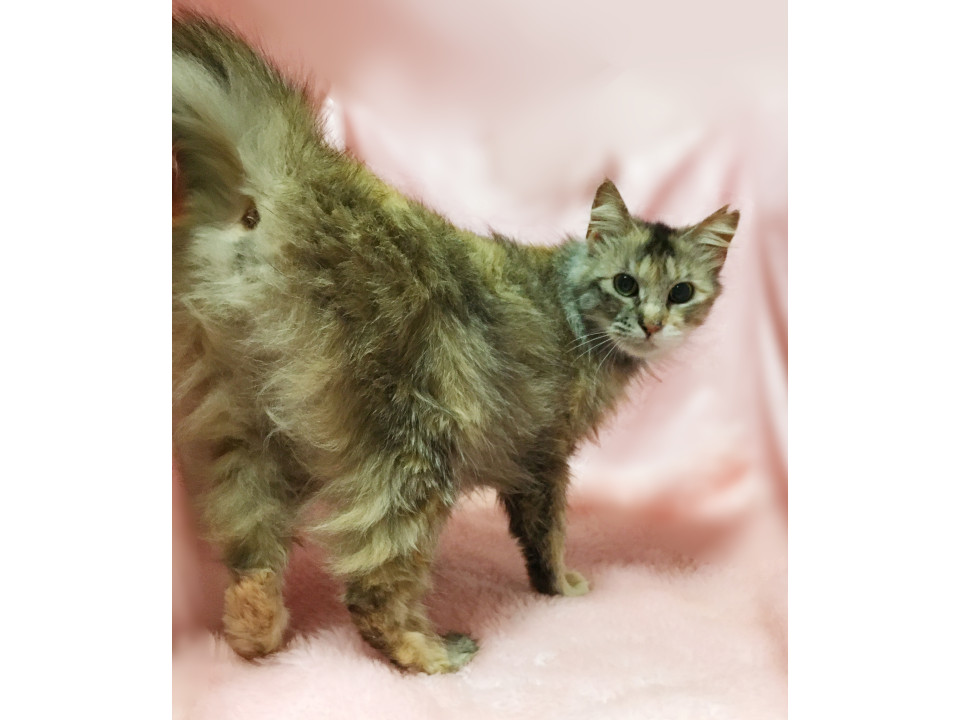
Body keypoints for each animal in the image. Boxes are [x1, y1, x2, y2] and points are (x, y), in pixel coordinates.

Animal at [172, 16, 739, 674]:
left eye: (680, 292)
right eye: (625, 284)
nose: (650, 324)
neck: (568, 304)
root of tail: (302, 175)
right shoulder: (544, 460)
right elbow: (548, 538)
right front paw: (563, 587)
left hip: (249, 430)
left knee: (251, 556)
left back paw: (258, 630)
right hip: (418, 441)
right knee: (371, 585)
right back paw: (432, 652)